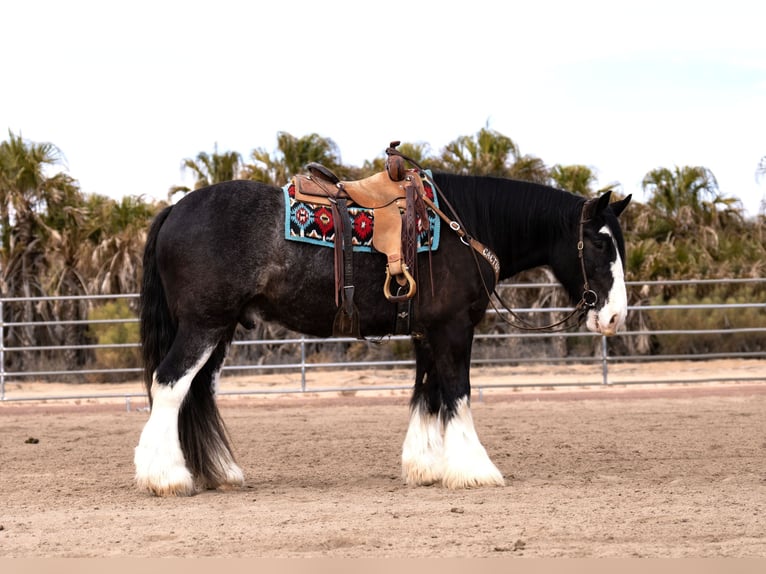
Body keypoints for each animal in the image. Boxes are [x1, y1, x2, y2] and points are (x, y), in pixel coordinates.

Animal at [135, 170, 632, 496]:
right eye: (600, 242)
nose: (614, 317)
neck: (464, 226)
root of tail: (174, 209)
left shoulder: (428, 332)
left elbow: (427, 394)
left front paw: (425, 466)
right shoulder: (453, 328)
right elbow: (458, 393)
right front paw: (475, 469)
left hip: (218, 331)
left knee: (196, 392)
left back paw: (217, 473)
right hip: (203, 327)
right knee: (170, 385)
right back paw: (166, 477)